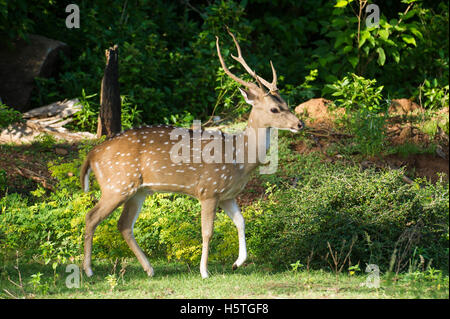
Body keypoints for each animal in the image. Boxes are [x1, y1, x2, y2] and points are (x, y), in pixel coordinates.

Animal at [80, 30, 306, 280]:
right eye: (274, 109)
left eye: (286, 103)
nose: (300, 124)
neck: (239, 159)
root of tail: (92, 155)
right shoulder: (209, 189)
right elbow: (207, 231)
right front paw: (204, 271)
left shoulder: (227, 195)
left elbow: (241, 221)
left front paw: (237, 262)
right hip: (116, 185)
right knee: (91, 217)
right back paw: (89, 270)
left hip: (138, 191)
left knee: (124, 225)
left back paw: (149, 269)